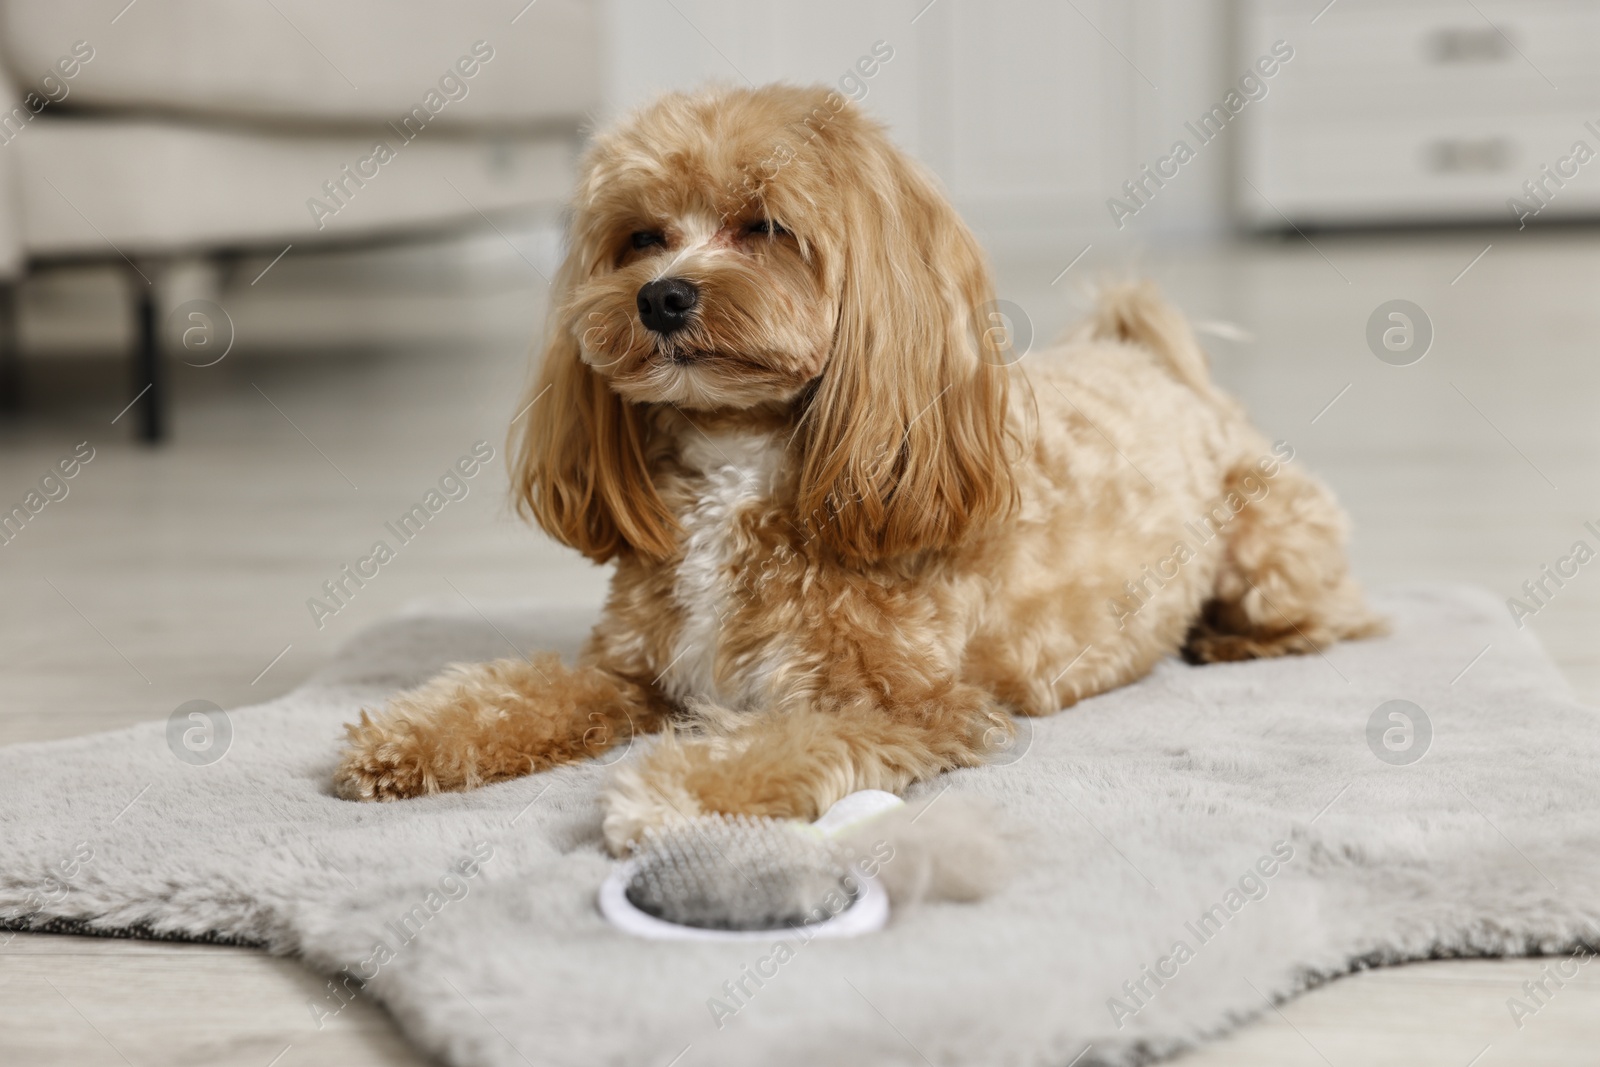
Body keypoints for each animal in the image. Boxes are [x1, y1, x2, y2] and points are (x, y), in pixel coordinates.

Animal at [331, 83, 1382, 851]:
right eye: (640, 237)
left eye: (763, 227)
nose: (660, 296)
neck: (743, 465)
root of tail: (1155, 362)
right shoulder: (636, 672)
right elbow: (526, 691)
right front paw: (412, 735)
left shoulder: (909, 706)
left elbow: (788, 738)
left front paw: (675, 787)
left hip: (1270, 552)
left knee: (1339, 615)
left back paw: (1233, 643)